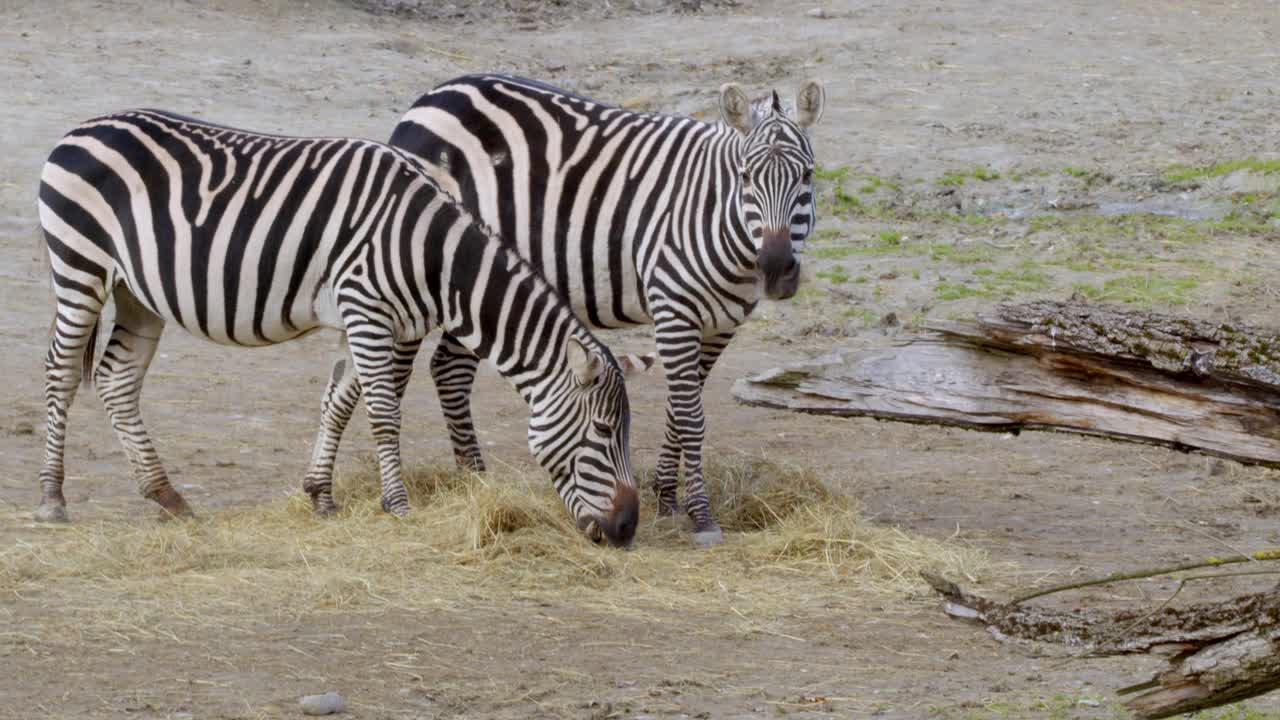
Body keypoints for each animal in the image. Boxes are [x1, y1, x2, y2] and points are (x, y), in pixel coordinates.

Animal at [35, 107, 655, 543]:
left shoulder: (371, 321)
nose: (627, 530)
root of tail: (81, 128)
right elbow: (382, 414)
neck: (432, 254)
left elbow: (338, 402)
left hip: (136, 293)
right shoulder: (367, 310)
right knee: (61, 374)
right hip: (81, 269)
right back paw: (52, 499)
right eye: (604, 431)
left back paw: (167, 497)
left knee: (116, 380)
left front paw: (321, 497)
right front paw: (397, 505)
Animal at [311, 74, 829, 543]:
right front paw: (700, 515)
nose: (776, 268)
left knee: (447, 370)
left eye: (807, 176)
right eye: (745, 178)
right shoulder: (674, 308)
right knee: (395, 378)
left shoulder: (720, 324)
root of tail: (430, 98)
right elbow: (690, 417)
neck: (715, 217)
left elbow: (678, 412)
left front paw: (667, 497)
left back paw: (473, 481)